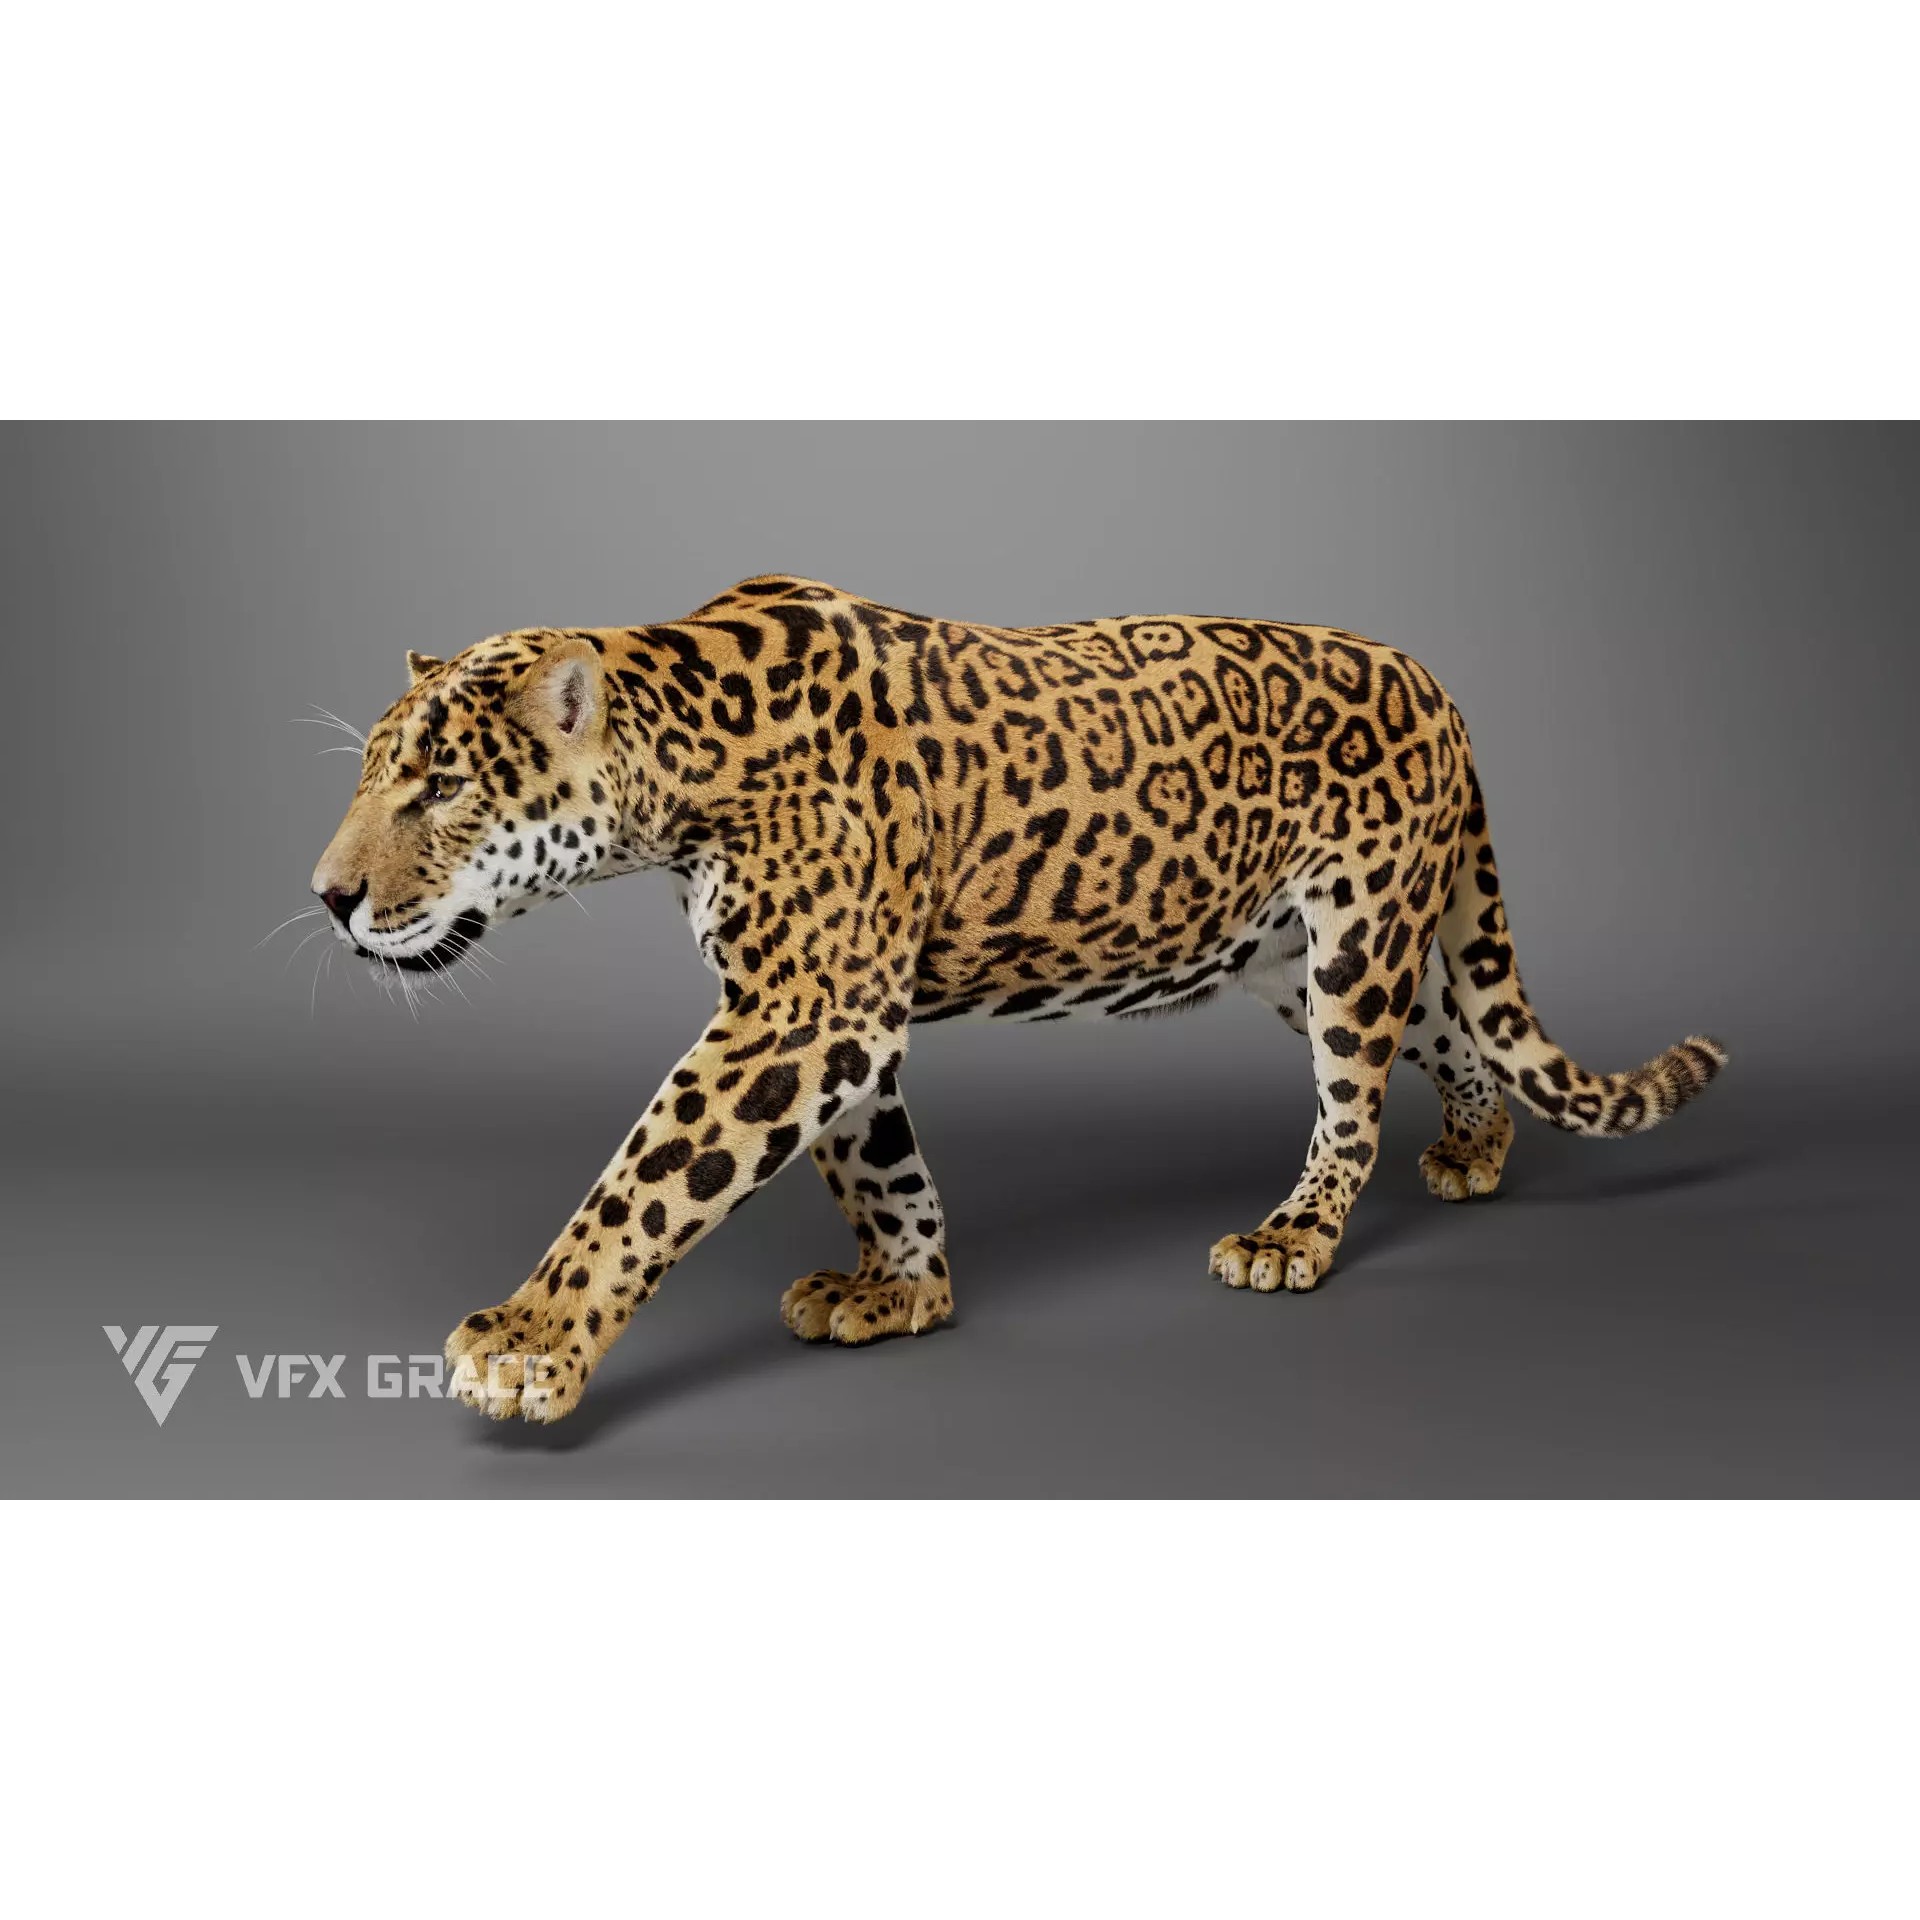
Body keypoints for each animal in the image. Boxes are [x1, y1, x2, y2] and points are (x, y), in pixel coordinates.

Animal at [309, 575, 1727, 1423]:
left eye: (438, 787)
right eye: (377, 776)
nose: (326, 897)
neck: (681, 762)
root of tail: (1435, 679)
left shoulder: (802, 1009)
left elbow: (645, 1178)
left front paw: (529, 1340)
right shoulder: (836, 1013)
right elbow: (878, 1163)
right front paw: (900, 1292)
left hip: (1354, 936)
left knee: (1352, 1104)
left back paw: (1292, 1238)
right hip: (1293, 949)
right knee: (1449, 1035)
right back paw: (1475, 1151)